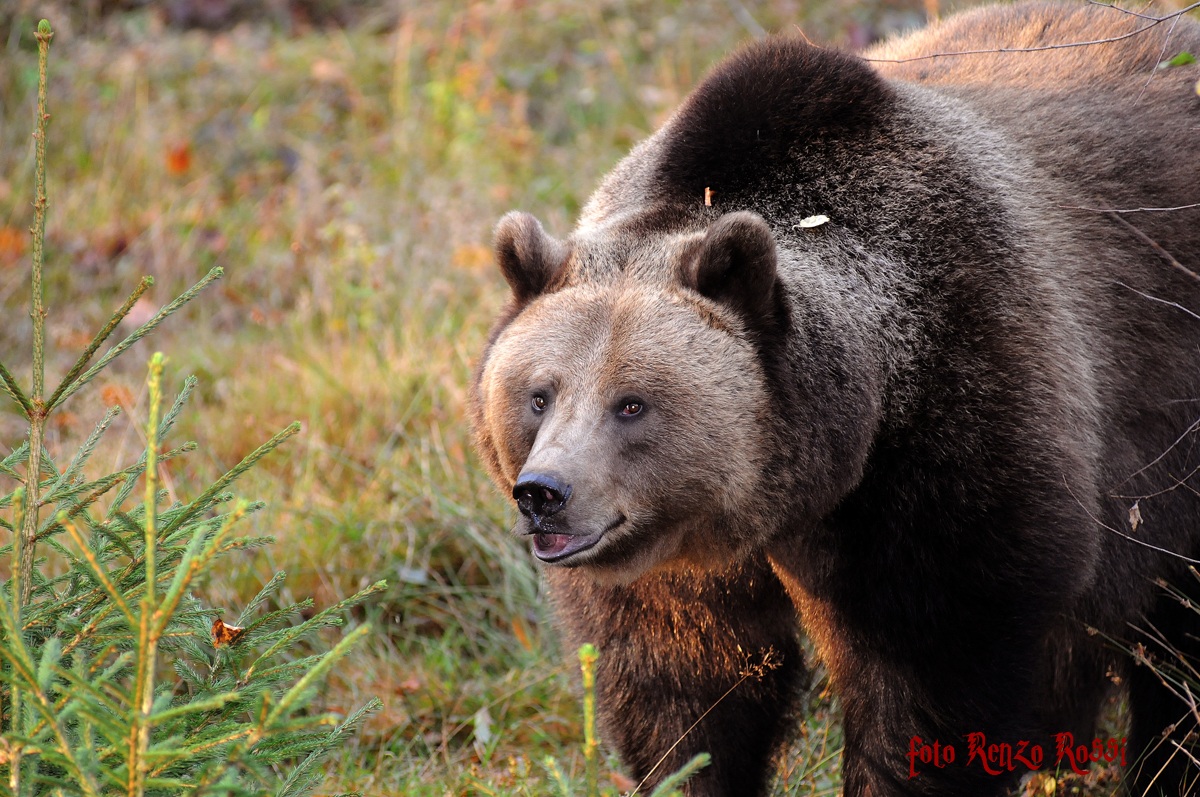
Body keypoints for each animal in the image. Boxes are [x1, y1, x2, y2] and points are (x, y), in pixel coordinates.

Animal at [469, 2, 1200, 795]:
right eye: (539, 395)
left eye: (631, 403)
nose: (545, 493)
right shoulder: (674, 565)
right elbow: (685, 689)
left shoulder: (960, 432)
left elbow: (932, 678)